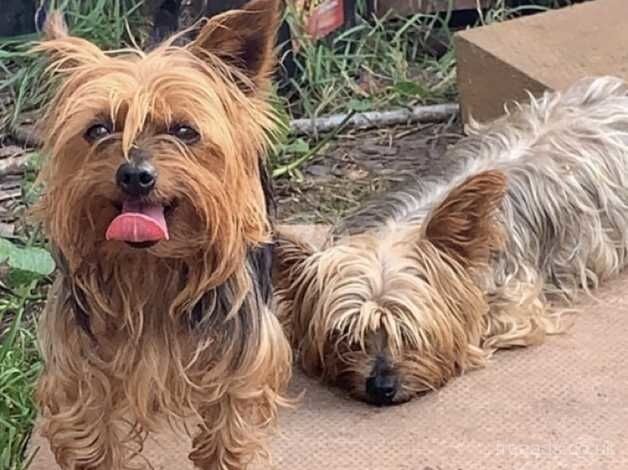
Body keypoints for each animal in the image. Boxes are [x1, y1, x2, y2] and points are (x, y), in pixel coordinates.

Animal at [32, 1, 292, 468]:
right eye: (99, 129)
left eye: (185, 130)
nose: (135, 175)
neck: (150, 268)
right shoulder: (77, 374)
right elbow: (92, 438)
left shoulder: (243, 367)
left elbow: (228, 433)